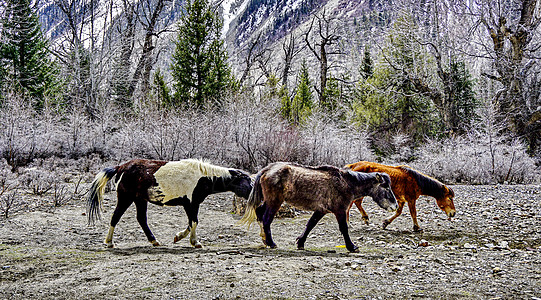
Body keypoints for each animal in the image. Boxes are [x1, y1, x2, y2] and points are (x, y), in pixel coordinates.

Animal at [85, 158, 252, 247]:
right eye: (247, 181)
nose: (253, 194)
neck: (203, 177)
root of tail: (122, 167)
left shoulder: (192, 204)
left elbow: (191, 222)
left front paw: (179, 237)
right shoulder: (191, 204)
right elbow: (194, 222)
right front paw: (195, 242)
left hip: (140, 200)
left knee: (141, 219)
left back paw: (154, 241)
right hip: (126, 198)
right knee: (116, 217)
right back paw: (109, 242)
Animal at [239, 163, 396, 252]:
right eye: (386, 187)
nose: (394, 206)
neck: (347, 183)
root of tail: (266, 170)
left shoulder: (321, 210)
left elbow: (310, 225)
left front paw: (300, 243)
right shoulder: (340, 210)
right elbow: (344, 229)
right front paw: (352, 247)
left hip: (270, 201)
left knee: (260, 214)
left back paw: (265, 240)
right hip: (275, 202)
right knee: (266, 219)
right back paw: (271, 243)